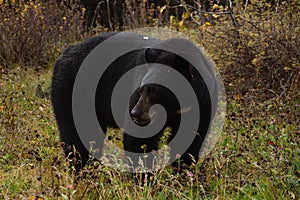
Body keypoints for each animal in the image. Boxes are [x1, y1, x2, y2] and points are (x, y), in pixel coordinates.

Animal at [50, 31, 217, 172]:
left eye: (155, 90)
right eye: (141, 89)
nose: (136, 113)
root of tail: (65, 52)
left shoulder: (202, 105)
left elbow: (190, 139)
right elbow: (139, 140)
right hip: (73, 91)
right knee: (78, 136)